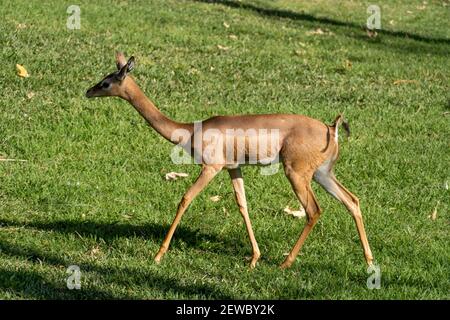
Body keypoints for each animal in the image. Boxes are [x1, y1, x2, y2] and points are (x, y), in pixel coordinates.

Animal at [86, 53, 374, 270]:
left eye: (106, 82)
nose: (88, 91)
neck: (190, 130)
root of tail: (332, 128)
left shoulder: (211, 167)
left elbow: (185, 199)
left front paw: (158, 255)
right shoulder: (234, 168)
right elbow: (242, 205)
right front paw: (254, 258)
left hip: (297, 173)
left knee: (314, 210)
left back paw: (285, 263)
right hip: (323, 173)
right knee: (352, 200)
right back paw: (369, 261)